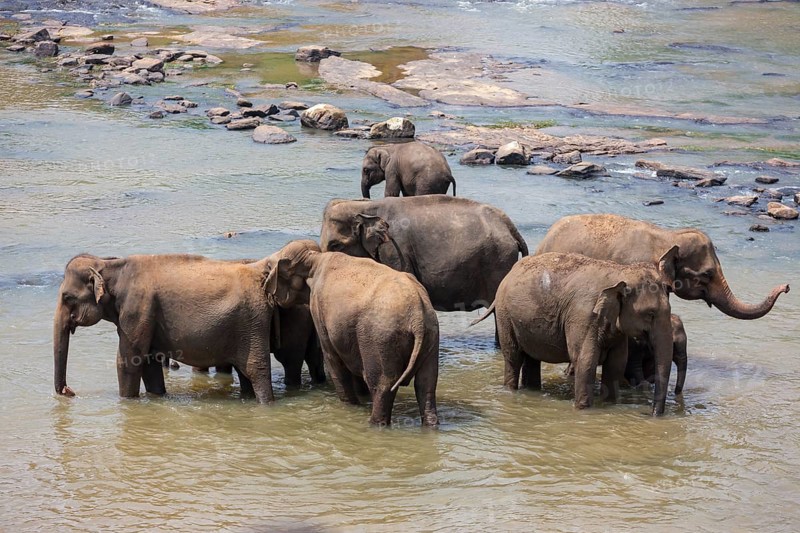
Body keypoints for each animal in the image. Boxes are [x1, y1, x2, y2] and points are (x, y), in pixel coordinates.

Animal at [53, 253, 280, 403]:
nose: (68, 390)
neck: (109, 265)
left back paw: (265, 404)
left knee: (256, 371)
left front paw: (127, 401)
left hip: (252, 324)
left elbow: (128, 361)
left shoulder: (137, 308)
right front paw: (156, 396)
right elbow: (149, 362)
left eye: (67, 297)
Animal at [266, 240, 440, 426]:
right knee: (427, 383)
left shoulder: (318, 309)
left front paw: (350, 406)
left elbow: (332, 357)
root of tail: (417, 314)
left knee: (382, 384)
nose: (267, 290)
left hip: (380, 338)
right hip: (430, 334)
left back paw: (374, 424)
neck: (315, 259)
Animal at [472, 251, 677, 415]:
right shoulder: (583, 316)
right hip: (505, 316)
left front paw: (610, 405)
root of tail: (509, 273)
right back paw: (511, 391)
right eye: (650, 314)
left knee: (532, 358)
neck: (620, 271)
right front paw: (583, 410)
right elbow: (585, 361)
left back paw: (532, 391)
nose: (652, 414)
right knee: (513, 357)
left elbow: (616, 364)